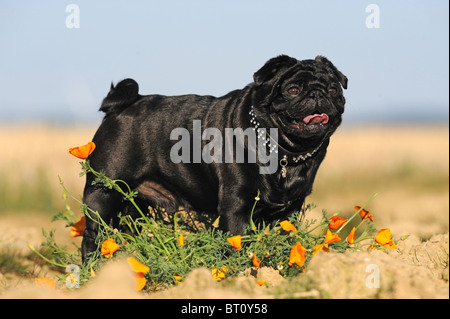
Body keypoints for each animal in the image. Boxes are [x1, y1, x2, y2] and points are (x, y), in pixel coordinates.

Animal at [81, 55, 348, 264]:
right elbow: (237, 245)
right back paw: (91, 270)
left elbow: (284, 242)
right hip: (101, 194)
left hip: (135, 205)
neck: (282, 152)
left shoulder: (289, 212)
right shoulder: (236, 207)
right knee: (92, 238)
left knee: (127, 231)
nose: (317, 93)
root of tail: (120, 108)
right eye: (293, 90)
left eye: (334, 90)